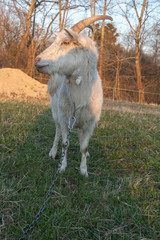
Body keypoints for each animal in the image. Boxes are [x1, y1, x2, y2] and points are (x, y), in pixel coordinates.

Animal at [35, 15, 112, 176]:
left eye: (65, 42)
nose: (36, 60)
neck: (80, 98)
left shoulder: (89, 123)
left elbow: (84, 146)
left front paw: (84, 170)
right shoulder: (65, 119)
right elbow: (65, 143)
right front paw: (62, 167)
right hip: (56, 113)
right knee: (57, 132)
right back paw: (53, 152)